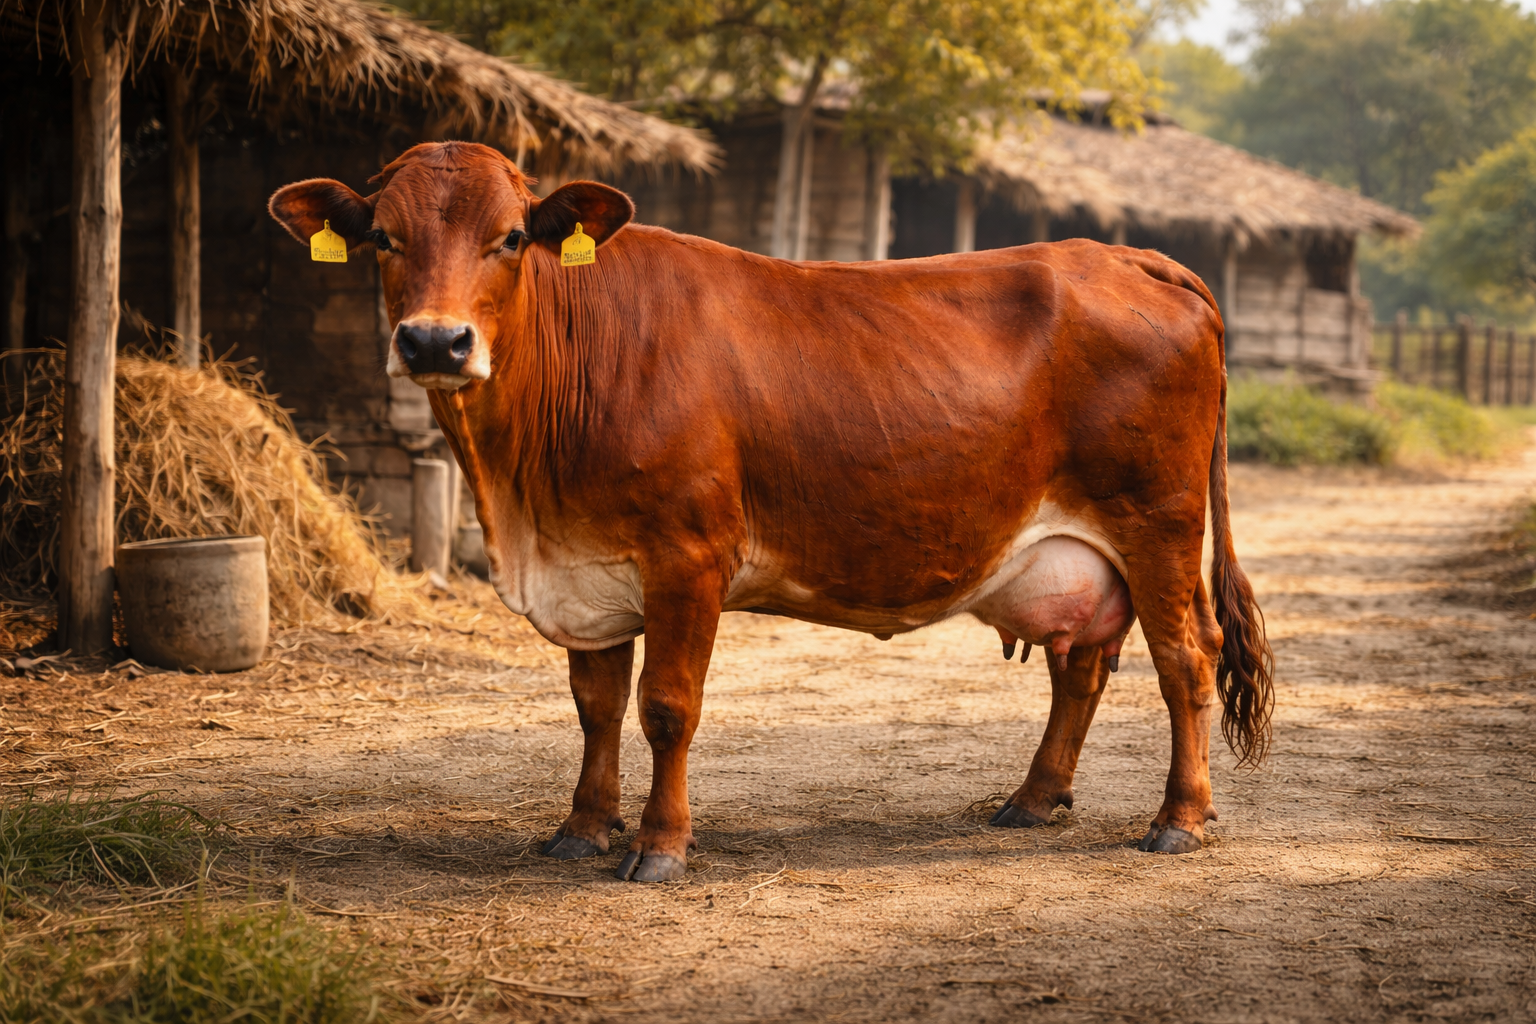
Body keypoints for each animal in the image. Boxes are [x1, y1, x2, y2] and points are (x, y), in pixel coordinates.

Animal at [270, 141, 1274, 883]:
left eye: (512, 236)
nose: (435, 342)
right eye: (383, 237)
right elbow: (595, 706)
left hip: (1159, 525)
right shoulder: (586, 571)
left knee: (1187, 659)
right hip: (1084, 549)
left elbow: (666, 706)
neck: (525, 497)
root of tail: (1125, 255)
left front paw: (659, 847)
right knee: (1084, 667)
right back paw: (1032, 800)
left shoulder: (686, 556)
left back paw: (1180, 819)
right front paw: (582, 828)